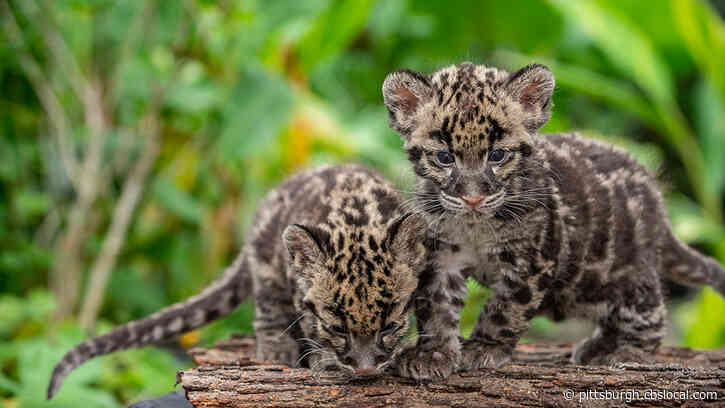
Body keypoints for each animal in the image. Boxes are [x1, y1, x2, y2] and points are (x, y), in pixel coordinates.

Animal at [47, 164, 428, 399]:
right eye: (336, 328)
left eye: (390, 325)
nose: (365, 371)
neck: (355, 217)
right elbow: (307, 324)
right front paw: (325, 361)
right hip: (266, 262)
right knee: (267, 310)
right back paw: (276, 348)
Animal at [382, 61, 725, 380]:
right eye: (444, 158)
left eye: (497, 155)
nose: (473, 198)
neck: (475, 227)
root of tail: (657, 205)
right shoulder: (441, 256)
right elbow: (436, 306)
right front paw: (433, 353)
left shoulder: (533, 260)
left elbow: (506, 308)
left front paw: (484, 347)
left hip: (622, 272)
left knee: (650, 310)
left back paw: (626, 353)